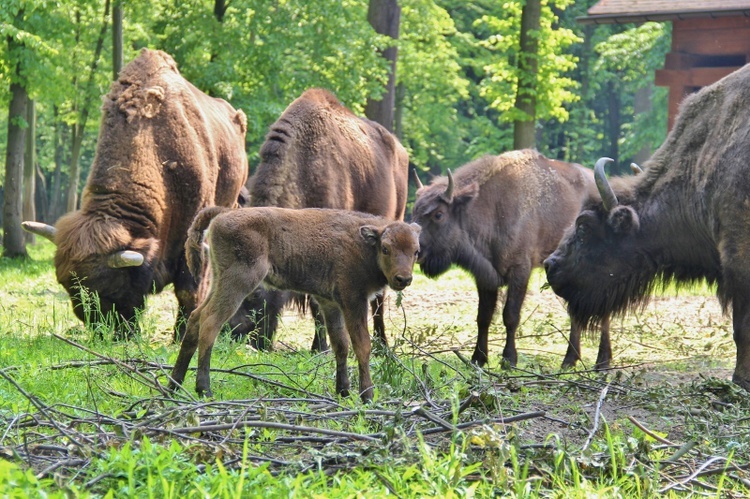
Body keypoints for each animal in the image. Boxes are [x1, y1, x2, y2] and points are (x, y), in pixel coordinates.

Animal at [21, 49, 247, 340]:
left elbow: (189, 288)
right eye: (69, 287)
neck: (156, 146)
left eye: (110, 286)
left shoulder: (193, 237)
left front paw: (181, 335)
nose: (104, 331)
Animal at [170, 206, 424, 402]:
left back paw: (174, 384)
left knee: (195, 318)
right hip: (239, 282)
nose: (403, 279)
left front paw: (343, 391)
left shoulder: (330, 304)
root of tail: (224, 214)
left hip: (218, 280)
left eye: (416, 251)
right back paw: (204, 389)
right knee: (210, 323)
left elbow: (340, 345)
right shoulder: (354, 301)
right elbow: (362, 345)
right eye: (386, 248)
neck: (364, 244)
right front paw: (367, 395)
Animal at [238, 87, 408, 352]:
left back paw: (382, 346)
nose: (233, 333)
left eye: (254, 294)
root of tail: (399, 149)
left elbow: (319, 303)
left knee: (379, 298)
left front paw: (320, 347)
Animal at [412, 150, 616, 374]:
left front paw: (508, 360)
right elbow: (483, 317)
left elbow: (510, 315)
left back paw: (602, 363)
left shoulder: (520, 270)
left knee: (602, 311)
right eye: (414, 211)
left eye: (438, 214)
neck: (492, 208)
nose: (416, 251)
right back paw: (569, 361)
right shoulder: (485, 276)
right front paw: (477, 359)